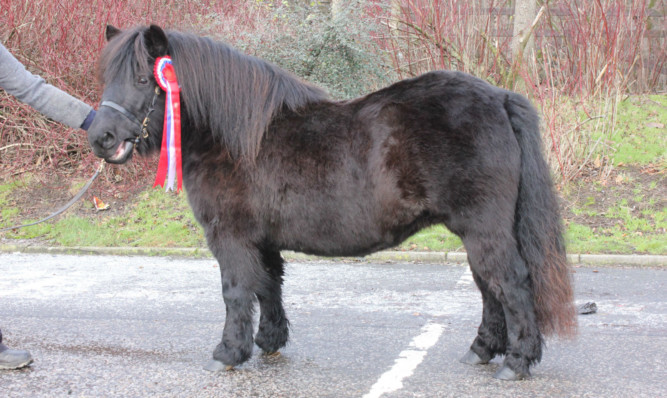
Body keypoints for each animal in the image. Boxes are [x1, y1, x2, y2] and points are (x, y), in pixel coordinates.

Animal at [88, 25, 576, 382]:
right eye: (108, 77)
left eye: (142, 78)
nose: (101, 137)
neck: (235, 137)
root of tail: (498, 97)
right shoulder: (263, 241)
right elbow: (269, 286)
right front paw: (269, 342)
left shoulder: (231, 237)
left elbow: (236, 291)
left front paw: (228, 352)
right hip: (476, 230)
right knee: (488, 287)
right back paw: (481, 350)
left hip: (483, 228)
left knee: (510, 283)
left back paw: (517, 362)